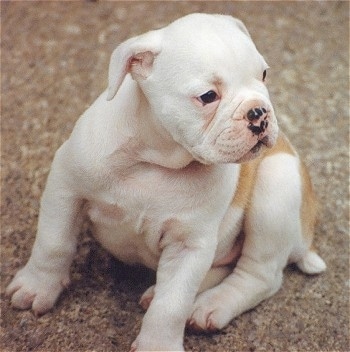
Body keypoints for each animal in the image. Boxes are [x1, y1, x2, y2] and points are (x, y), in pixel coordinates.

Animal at [6, 13, 326, 352]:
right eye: (208, 97)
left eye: (263, 75)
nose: (259, 112)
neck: (155, 159)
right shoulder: (66, 187)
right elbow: (53, 243)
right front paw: (37, 286)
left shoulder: (189, 244)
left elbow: (172, 304)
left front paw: (158, 341)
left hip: (276, 185)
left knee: (259, 276)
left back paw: (211, 304)